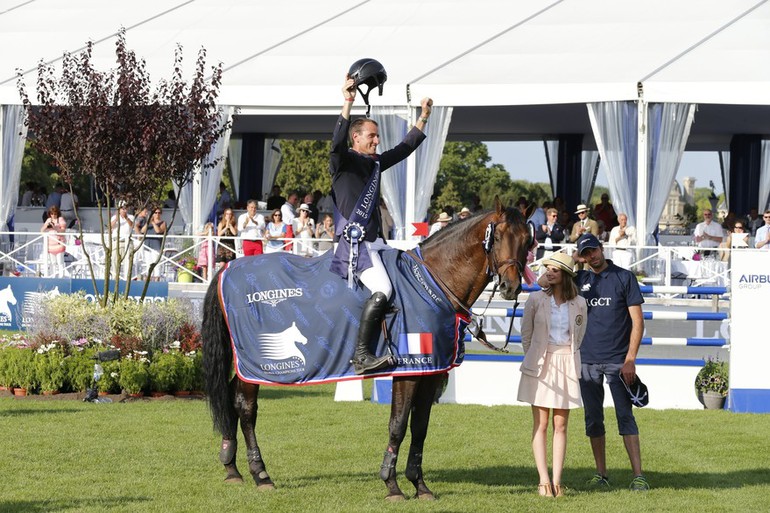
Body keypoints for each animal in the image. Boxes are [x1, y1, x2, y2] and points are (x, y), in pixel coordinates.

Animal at [201, 197, 532, 500]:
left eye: (527, 241)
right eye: (498, 237)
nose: (511, 287)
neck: (432, 283)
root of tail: (227, 268)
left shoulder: (431, 371)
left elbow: (420, 427)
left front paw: (420, 485)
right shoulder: (409, 371)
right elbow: (398, 424)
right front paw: (392, 485)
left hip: (248, 365)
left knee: (231, 397)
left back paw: (232, 468)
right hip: (258, 365)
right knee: (246, 406)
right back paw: (261, 474)